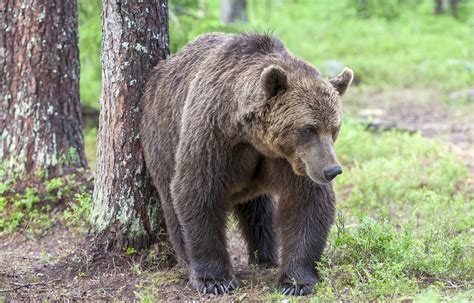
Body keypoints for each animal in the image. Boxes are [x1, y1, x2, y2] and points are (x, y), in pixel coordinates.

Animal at [140, 33, 352, 296]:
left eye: (334, 128)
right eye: (308, 128)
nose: (332, 170)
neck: (251, 136)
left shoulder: (290, 160)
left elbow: (307, 202)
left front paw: (296, 282)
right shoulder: (213, 137)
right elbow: (197, 191)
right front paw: (215, 280)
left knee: (259, 209)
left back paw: (265, 257)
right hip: (161, 138)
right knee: (171, 202)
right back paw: (187, 262)